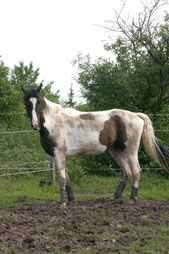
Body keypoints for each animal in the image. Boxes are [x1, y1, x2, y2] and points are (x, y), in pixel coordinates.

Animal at [21, 84, 169, 207]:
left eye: (39, 102)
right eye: (27, 102)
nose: (35, 125)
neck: (54, 120)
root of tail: (136, 115)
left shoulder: (59, 153)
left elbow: (62, 178)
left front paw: (63, 203)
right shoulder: (61, 155)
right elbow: (67, 177)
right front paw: (71, 199)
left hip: (130, 150)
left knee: (136, 171)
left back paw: (132, 198)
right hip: (115, 150)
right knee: (127, 172)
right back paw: (116, 197)